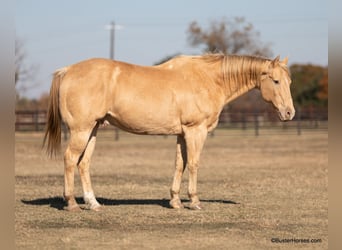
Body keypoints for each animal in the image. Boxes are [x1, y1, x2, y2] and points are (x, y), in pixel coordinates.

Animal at [42, 53, 294, 211]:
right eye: (276, 81)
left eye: (289, 81)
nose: (289, 113)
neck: (209, 79)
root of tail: (67, 71)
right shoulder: (195, 131)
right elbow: (193, 164)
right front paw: (194, 201)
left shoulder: (182, 134)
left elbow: (179, 164)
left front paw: (175, 201)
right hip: (81, 130)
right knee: (70, 159)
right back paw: (72, 203)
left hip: (93, 130)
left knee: (83, 164)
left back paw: (93, 204)